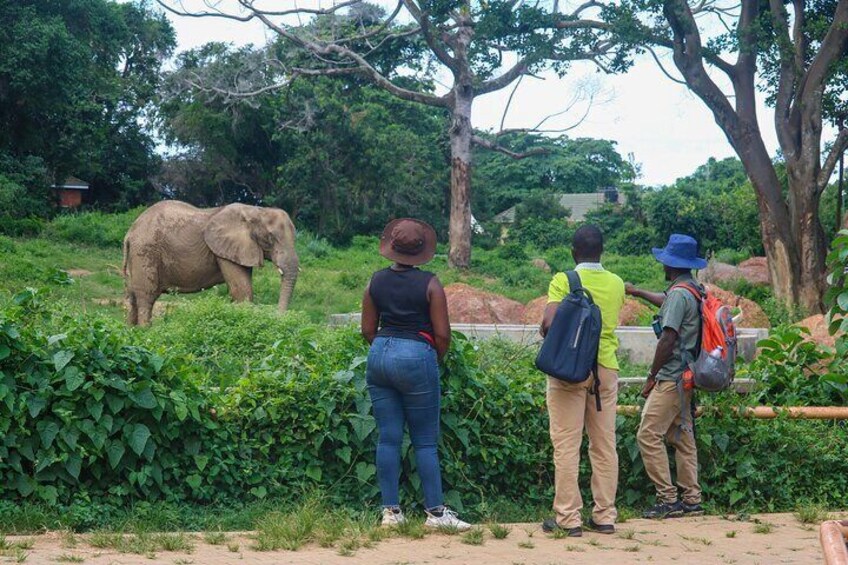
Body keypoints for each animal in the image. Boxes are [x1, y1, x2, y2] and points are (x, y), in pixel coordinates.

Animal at [122, 200, 299, 326]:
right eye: (270, 238)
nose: (278, 317)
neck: (256, 210)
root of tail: (129, 232)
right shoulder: (225, 250)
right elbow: (242, 291)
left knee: (133, 296)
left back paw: (131, 331)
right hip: (145, 251)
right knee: (146, 296)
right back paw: (146, 332)